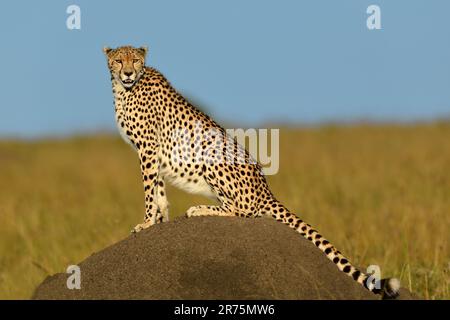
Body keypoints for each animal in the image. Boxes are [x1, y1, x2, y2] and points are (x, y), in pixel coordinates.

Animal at [103, 44, 400, 298]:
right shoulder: (153, 153)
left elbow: (149, 190)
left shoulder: (149, 149)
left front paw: (146, 222)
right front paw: (159, 219)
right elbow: (159, 190)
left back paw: (200, 209)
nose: (128, 72)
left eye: (135, 60)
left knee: (244, 210)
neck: (125, 89)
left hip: (213, 158)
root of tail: (266, 189)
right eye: (119, 60)